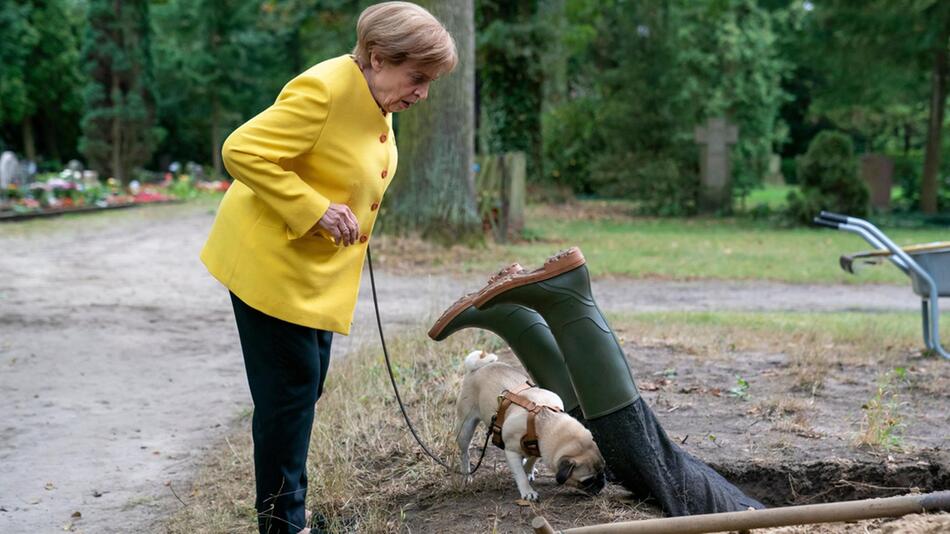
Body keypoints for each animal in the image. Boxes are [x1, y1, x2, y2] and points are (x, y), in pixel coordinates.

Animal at [456, 352, 608, 502]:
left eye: (603, 472)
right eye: (587, 481)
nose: (602, 483)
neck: (544, 420)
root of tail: (479, 368)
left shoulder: (539, 445)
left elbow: (533, 459)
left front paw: (528, 470)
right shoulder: (511, 451)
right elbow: (520, 475)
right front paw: (527, 491)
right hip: (465, 428)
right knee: (465, 453)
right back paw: (466, 475)